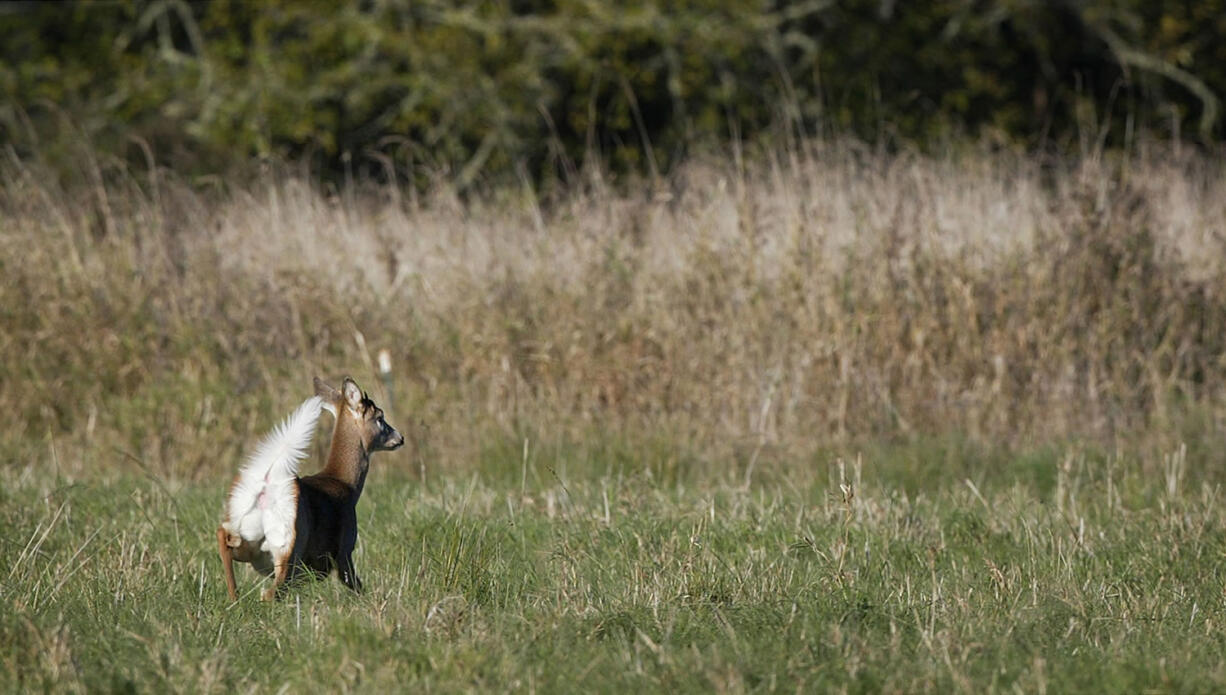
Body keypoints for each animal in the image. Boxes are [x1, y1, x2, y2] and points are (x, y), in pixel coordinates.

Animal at [218, 377, 404, 600]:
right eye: (380, 417)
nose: (400, 438)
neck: (344, 483)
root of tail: (267, 485)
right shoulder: (344, 550)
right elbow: (356, 585)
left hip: (248, 538)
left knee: (224, 542)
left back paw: (234, 597)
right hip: (288, 545)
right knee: (271, 592)